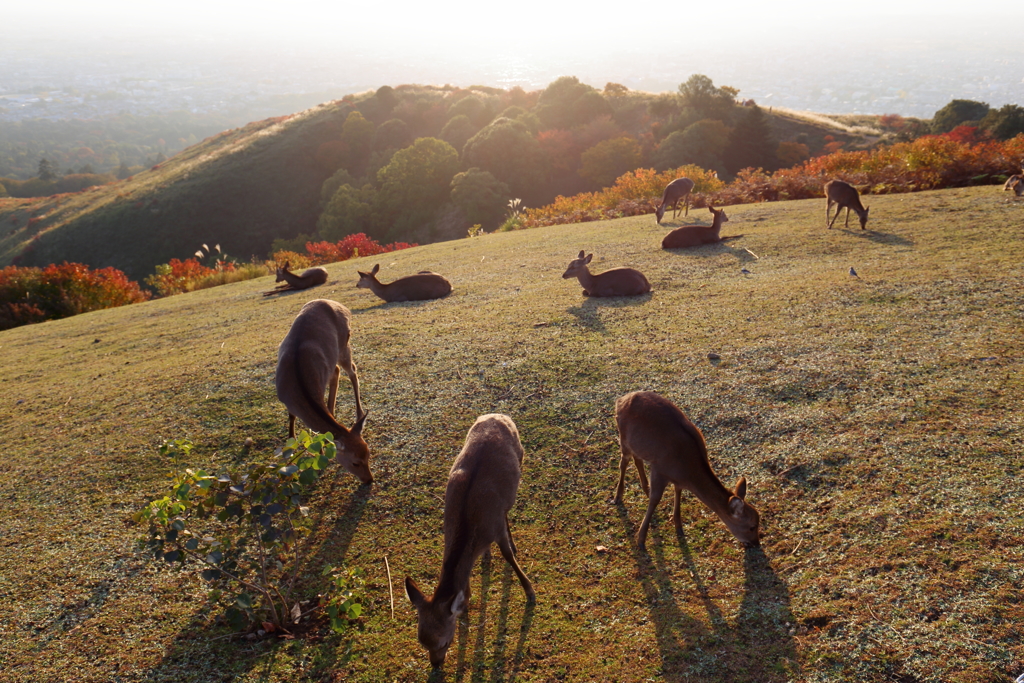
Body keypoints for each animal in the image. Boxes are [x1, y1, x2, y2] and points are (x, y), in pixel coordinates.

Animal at [272, 301, 372, 485]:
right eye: (355, 462)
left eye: (369, 454)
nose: (369, 480)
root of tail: (342, 306)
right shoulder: (285, 399)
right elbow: (291, 417)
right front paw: (290, 448)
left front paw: (320, 455)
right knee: (342, 370)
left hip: (344, 344)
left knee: (351, 370)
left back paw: (359, 412)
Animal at [405, 413, 536, 671]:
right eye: (422, 643)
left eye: (445, 642)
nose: (436, 665)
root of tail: (497, 414)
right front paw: (466, 597)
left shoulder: (495, 526)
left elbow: (508, 555)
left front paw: (530, 591)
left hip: (521, 455)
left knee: (508, 508)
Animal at [606, 389, 761, 548]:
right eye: (752, 526)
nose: (756, 543)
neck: (687, 469)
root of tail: (620, 399)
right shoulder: (659, 469)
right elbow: (655, 500)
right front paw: (641, 541)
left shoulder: (677, 479)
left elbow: (678, 493)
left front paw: (679, 528)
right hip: (623, 436)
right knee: (623, 462)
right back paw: (617, 497)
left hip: (637, 444)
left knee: (637, 459)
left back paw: (645, 488)